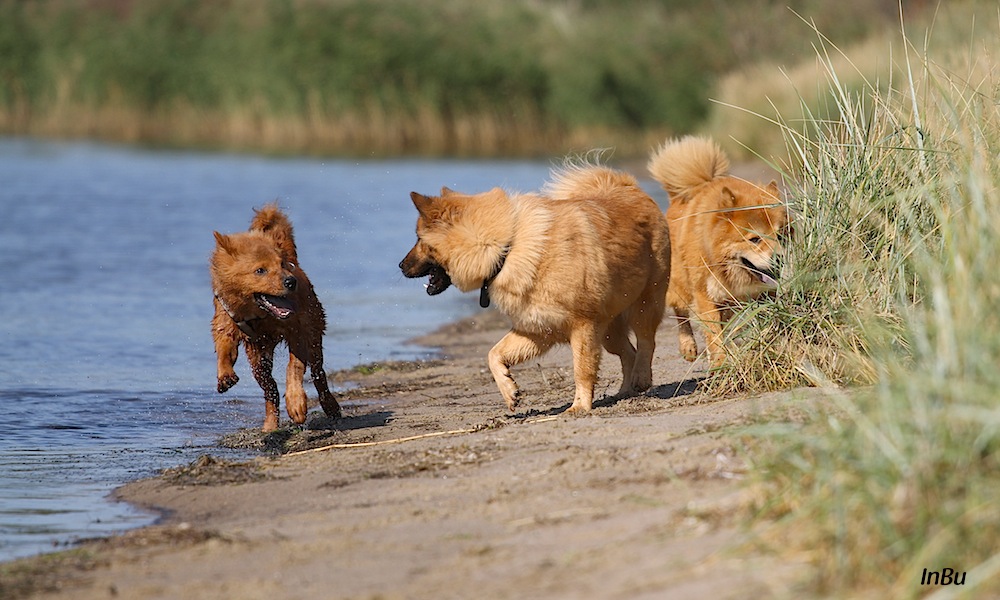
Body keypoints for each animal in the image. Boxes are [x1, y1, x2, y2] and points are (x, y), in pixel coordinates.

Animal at [400, 164, 672, 418]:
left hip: (643, 305)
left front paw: (579, 406)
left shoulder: (583, 327)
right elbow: (493, 354)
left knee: (646, 342)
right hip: (608, 331)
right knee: (628, 352)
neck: (507, 246)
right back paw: (625, 391)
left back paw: (641, 378)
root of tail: (629, 187)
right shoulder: (538, 329)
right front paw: (509, 390)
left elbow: (582, 370)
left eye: (418, 239)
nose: (400, 266)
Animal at [652, 137, 792, 366]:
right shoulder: (705, 294)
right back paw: (688, 347)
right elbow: (713, 333)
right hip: (681, 284)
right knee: (681, 313)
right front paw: (719, 363)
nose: (779, 259)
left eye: (781, 236)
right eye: (754, 239)